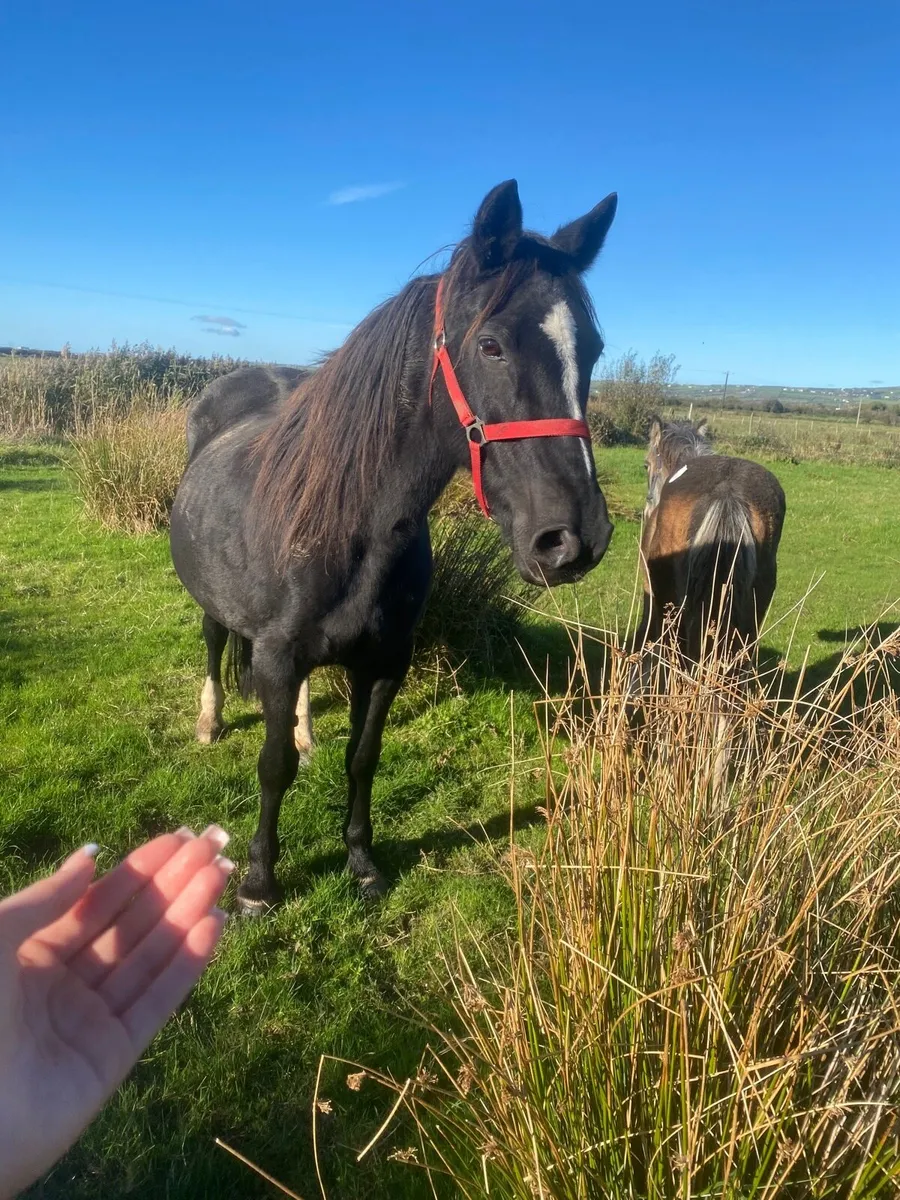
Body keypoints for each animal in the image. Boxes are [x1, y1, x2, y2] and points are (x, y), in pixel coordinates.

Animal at [170, 179, 618, 914]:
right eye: (490, 345)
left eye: (595, 349)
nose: (574, 539)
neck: (350, 524)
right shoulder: (275, 656)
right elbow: (273, 767)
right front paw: (260, 883)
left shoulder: (385, 662)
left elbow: (362, 758)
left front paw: (362, 862)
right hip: (214, 602)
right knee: (212, 643)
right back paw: (210, 722)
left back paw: (305, 729)